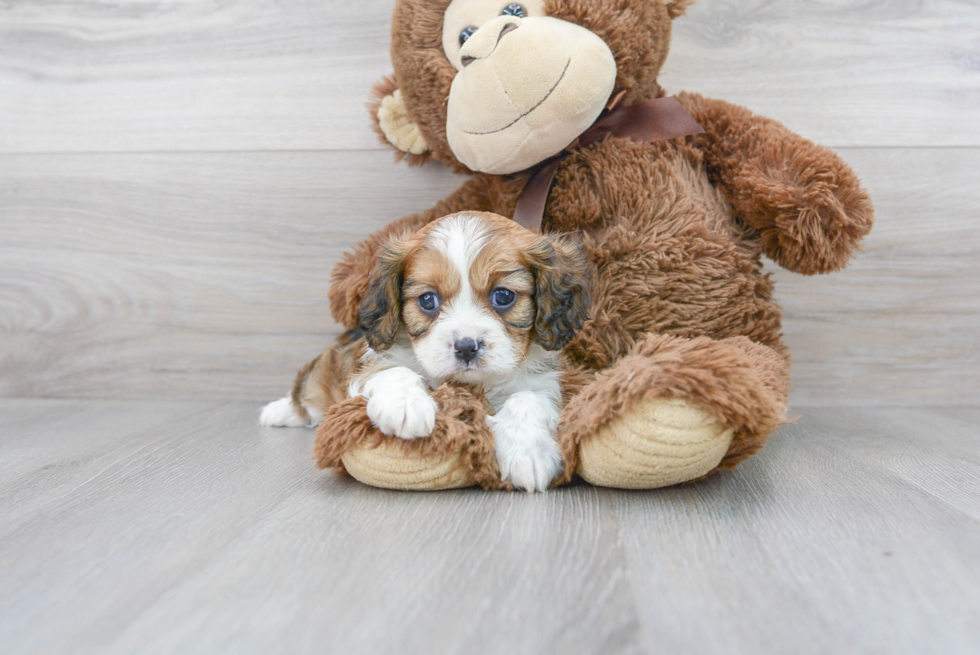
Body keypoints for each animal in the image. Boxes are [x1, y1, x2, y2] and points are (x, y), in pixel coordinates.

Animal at [260, 211, 588, 492]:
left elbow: (526, 400)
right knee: (305, 394)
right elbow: (395, 371)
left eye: (503, 296)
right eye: (428, 300)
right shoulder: (368, 369)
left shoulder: (541, 383)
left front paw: (528, 451)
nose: (466, 347)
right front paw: (406, 405)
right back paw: (279, 411)